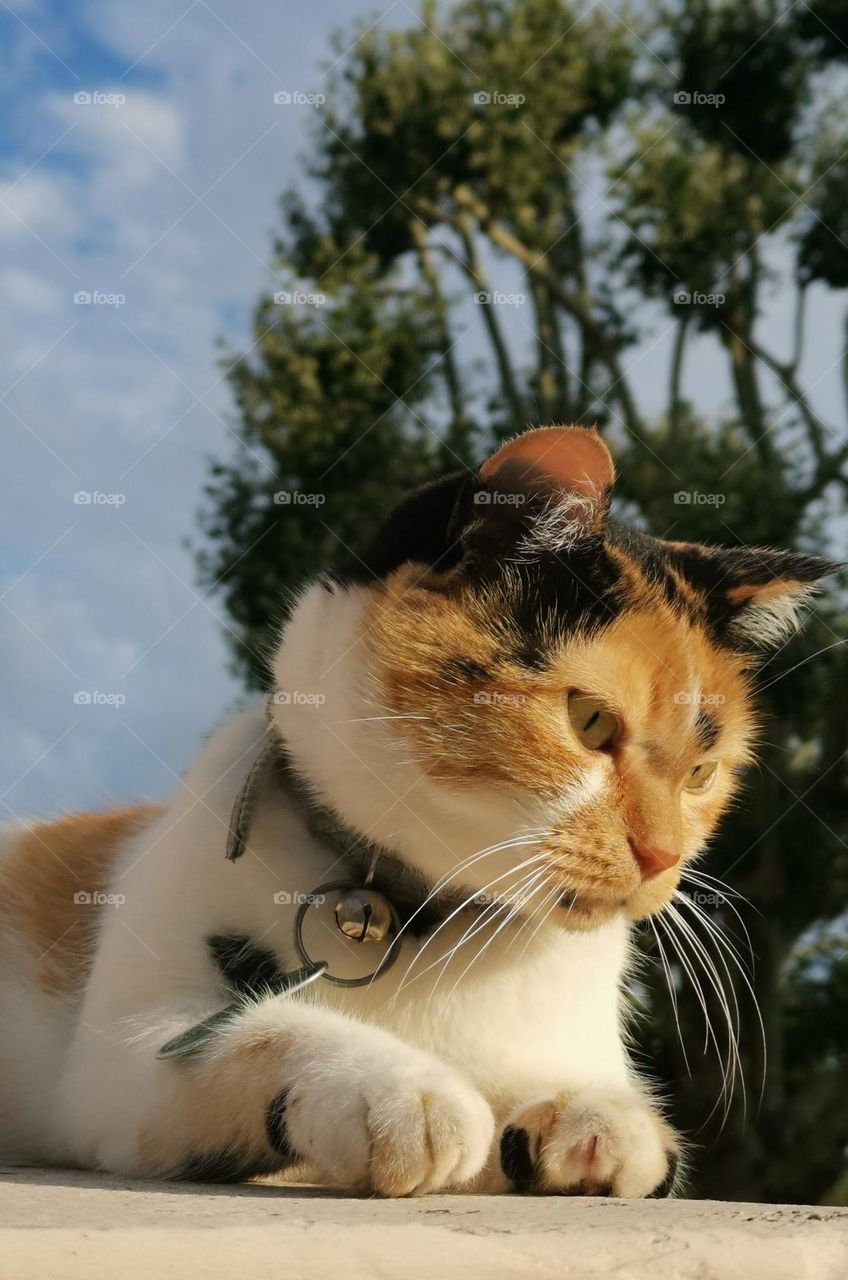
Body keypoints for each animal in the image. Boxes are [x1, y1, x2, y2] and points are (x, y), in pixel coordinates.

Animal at [0, 424, 835, 1192]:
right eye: (591, 721)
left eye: (701, 772)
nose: (663, 856)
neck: (412, 917)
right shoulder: (119, 1058)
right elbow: (248, 1030)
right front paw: (401, 1092)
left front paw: (595, 1118)